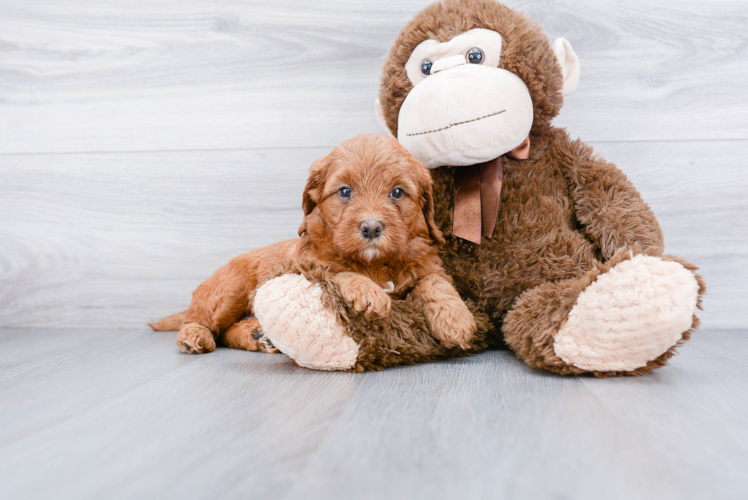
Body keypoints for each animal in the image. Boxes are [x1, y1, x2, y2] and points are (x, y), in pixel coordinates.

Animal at [151, 134, 476, 356]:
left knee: (226, 331)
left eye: (397, 193)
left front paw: (456, 319)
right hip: (231, 288)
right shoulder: (307, 267)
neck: (375, 263)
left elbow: (435, 282)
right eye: (345, 192)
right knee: (205, 321)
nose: (371, 227)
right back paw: (194, 336)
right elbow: (337, 272)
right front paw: (368, 291)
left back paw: (255, 334)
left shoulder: (428, 265)